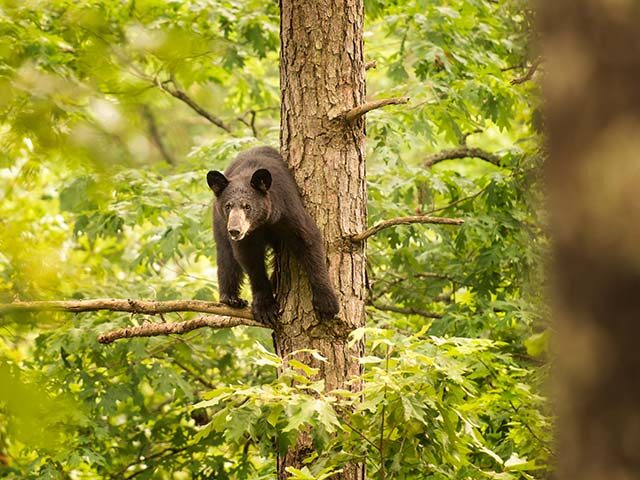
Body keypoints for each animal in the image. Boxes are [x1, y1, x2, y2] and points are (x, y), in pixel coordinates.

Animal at [207, 146, 340, 326]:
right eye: (228, 206)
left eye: (247, 206)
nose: (235, 230)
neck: (263, 223)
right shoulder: (245, 237)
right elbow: (250, 261)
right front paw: (265, 308)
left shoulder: (287, 209)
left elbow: (308, 240)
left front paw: (327, 302)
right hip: (219, 224)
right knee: (225, 255)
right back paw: (231, 299)